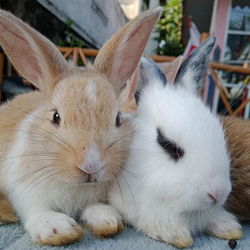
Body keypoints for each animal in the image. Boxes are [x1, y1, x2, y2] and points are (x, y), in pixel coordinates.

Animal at [0, 8, 162, 246]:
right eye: (56, 116)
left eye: (117, 118)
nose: (91, 165)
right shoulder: (23, 189)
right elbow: (35, 209)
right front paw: (57, 229)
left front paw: (107, 219)